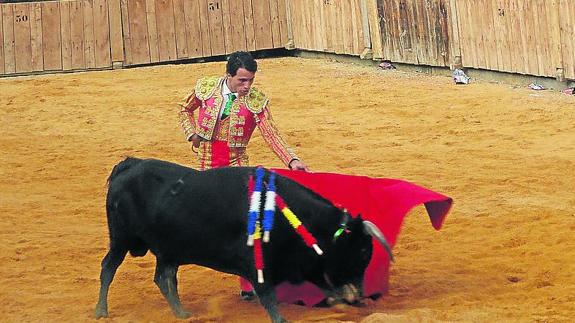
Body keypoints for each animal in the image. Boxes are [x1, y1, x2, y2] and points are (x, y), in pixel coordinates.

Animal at [95, 158, 392, 322]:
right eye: (363, 251)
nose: (360, 294)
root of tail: (129, 166)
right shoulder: (258, 267)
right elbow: (271, 301)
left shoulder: (303, 265)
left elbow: (327, 290)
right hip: (121, 239)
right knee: (109, 267)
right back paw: (101, 311)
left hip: (169, 250)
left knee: (164, 278)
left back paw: (182, 314)